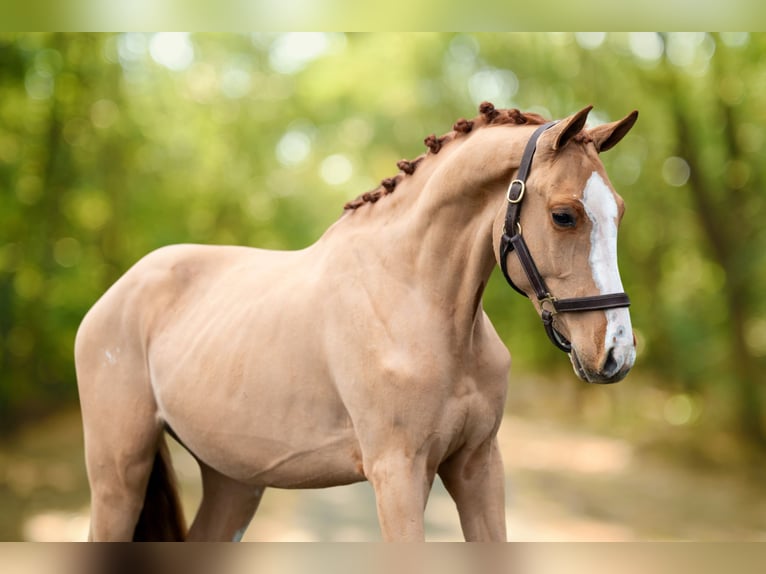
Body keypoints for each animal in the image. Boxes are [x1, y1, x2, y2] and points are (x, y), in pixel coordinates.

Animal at [76, 103, 640, 544]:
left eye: (619, 210)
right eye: (564, 215)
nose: (617, 352)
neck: (415, 299)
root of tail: (116, 295)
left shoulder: (477, 464)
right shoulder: (397, 474)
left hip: (232, 480)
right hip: (118, 477)